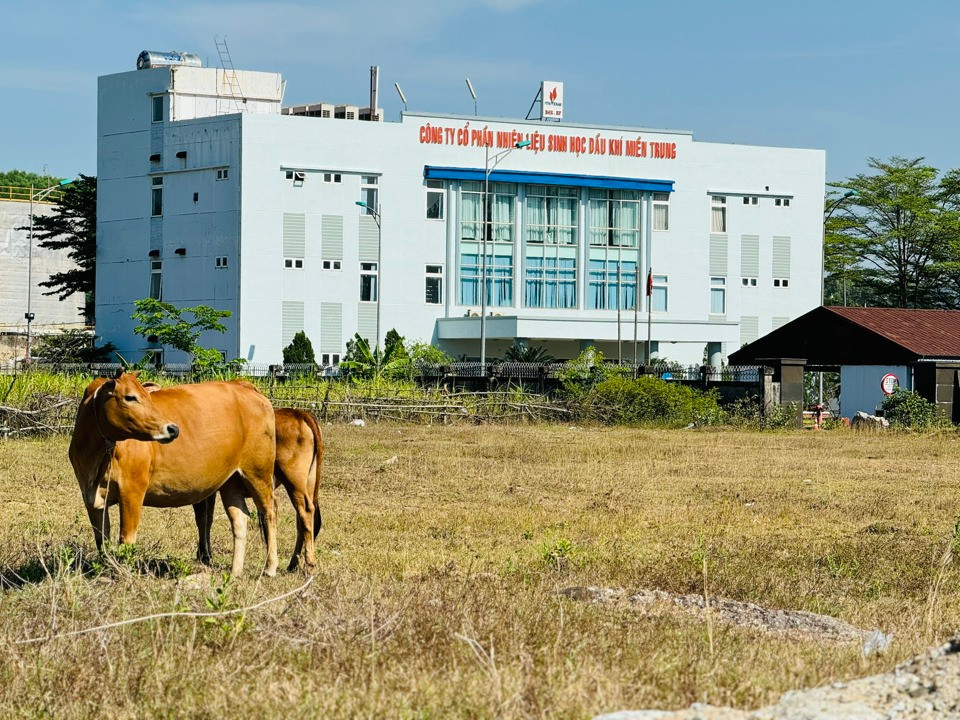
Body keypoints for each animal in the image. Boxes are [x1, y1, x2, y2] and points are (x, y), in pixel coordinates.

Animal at [69, 374, 280, 576]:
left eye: (148, 397)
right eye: (130, 397)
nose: (172, 428)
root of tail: (244, 386)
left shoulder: (132, 491)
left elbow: (126, 539)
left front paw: (121, 573)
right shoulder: (91, 498)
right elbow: (101, 539)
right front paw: (105, 569)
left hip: (258, 472)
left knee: (269, 512)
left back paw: (270, 567)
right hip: (231, 480)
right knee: (239, 518)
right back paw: (235, 572)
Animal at [193, 410, 324, 572]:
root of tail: (299, 414)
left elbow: (201, 519)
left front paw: (203, 555)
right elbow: (208, 519)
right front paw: (206, 554)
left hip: (292, 480)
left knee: (305, 511)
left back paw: (309, 563)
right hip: (309, 482)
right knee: (303, 520)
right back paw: (293, 563)